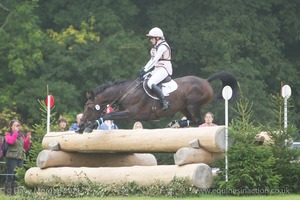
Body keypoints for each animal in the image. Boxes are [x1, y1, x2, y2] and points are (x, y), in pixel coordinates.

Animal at [78, 71, 238, 132]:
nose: (80, 125)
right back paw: (175, 124)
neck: (126, 92)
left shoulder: (130, 113)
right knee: (192, 119)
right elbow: (108, 114)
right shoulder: (124, 111)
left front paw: (90, 126)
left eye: (89, 107)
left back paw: (175, 124)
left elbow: (108, 115)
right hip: (184, 107)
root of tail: (206, 81)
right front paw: (89, 126)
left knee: (198, 119)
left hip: (193, 105)